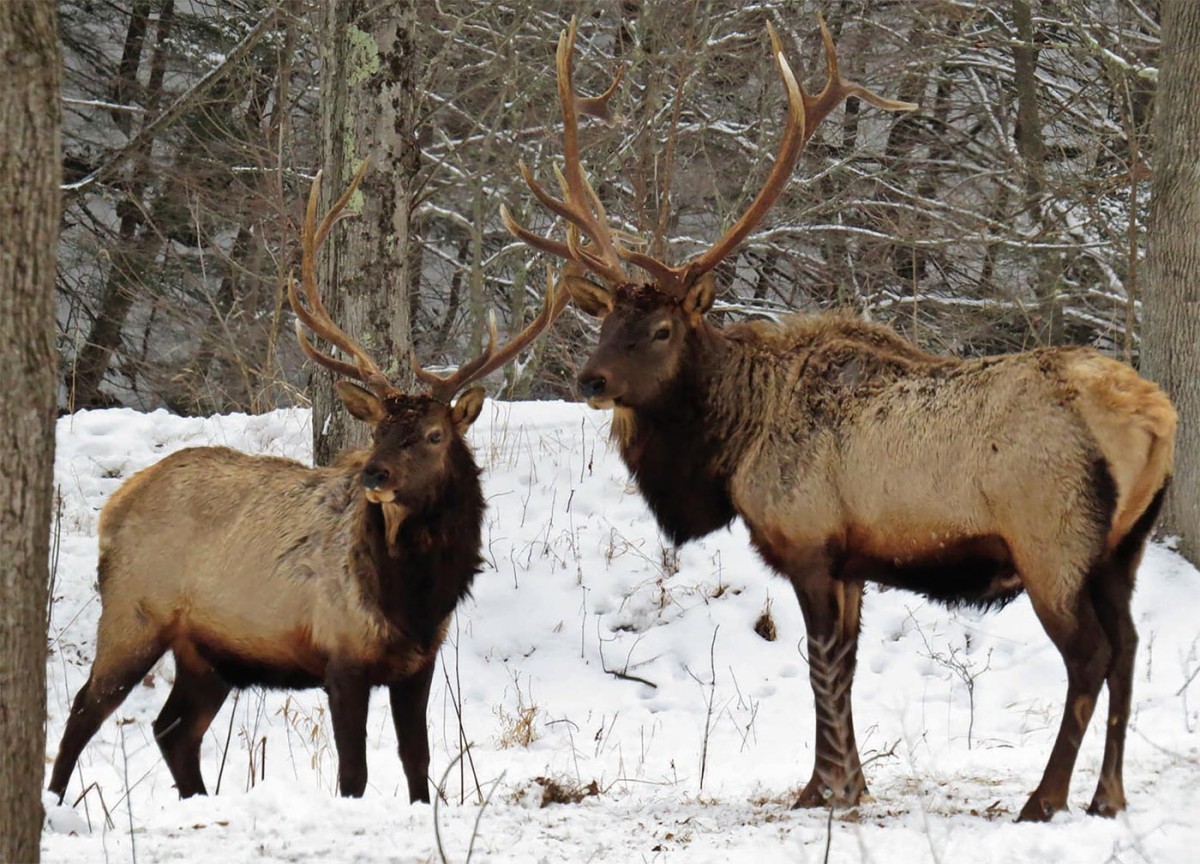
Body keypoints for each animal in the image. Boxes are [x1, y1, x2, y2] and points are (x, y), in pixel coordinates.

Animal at [49, 162, 568, 804]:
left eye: (433, 434)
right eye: (377, 429)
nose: (374, 474)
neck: (413, 597)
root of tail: (115, 504)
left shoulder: (419, 662)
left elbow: (417, 761)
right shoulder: (341, 657)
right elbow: (354, 775)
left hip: (209, 654)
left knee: (171, 729)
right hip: (134, 611)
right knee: (84, 710)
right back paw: (54, 802)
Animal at [503, 17, 1177, 822]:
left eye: (661, 330)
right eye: (605, 322)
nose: (591, 379)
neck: (735, 446)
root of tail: (1155, 419)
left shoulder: (809, 540)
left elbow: (821, 664)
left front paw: (820, 790)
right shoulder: (854, 559)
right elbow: (847, 665)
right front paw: (850, 783)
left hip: (1053, 538)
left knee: (1091, 655)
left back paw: (1043, 799)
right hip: (1121, 548)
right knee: (1130, 647)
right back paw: (1108, 797)